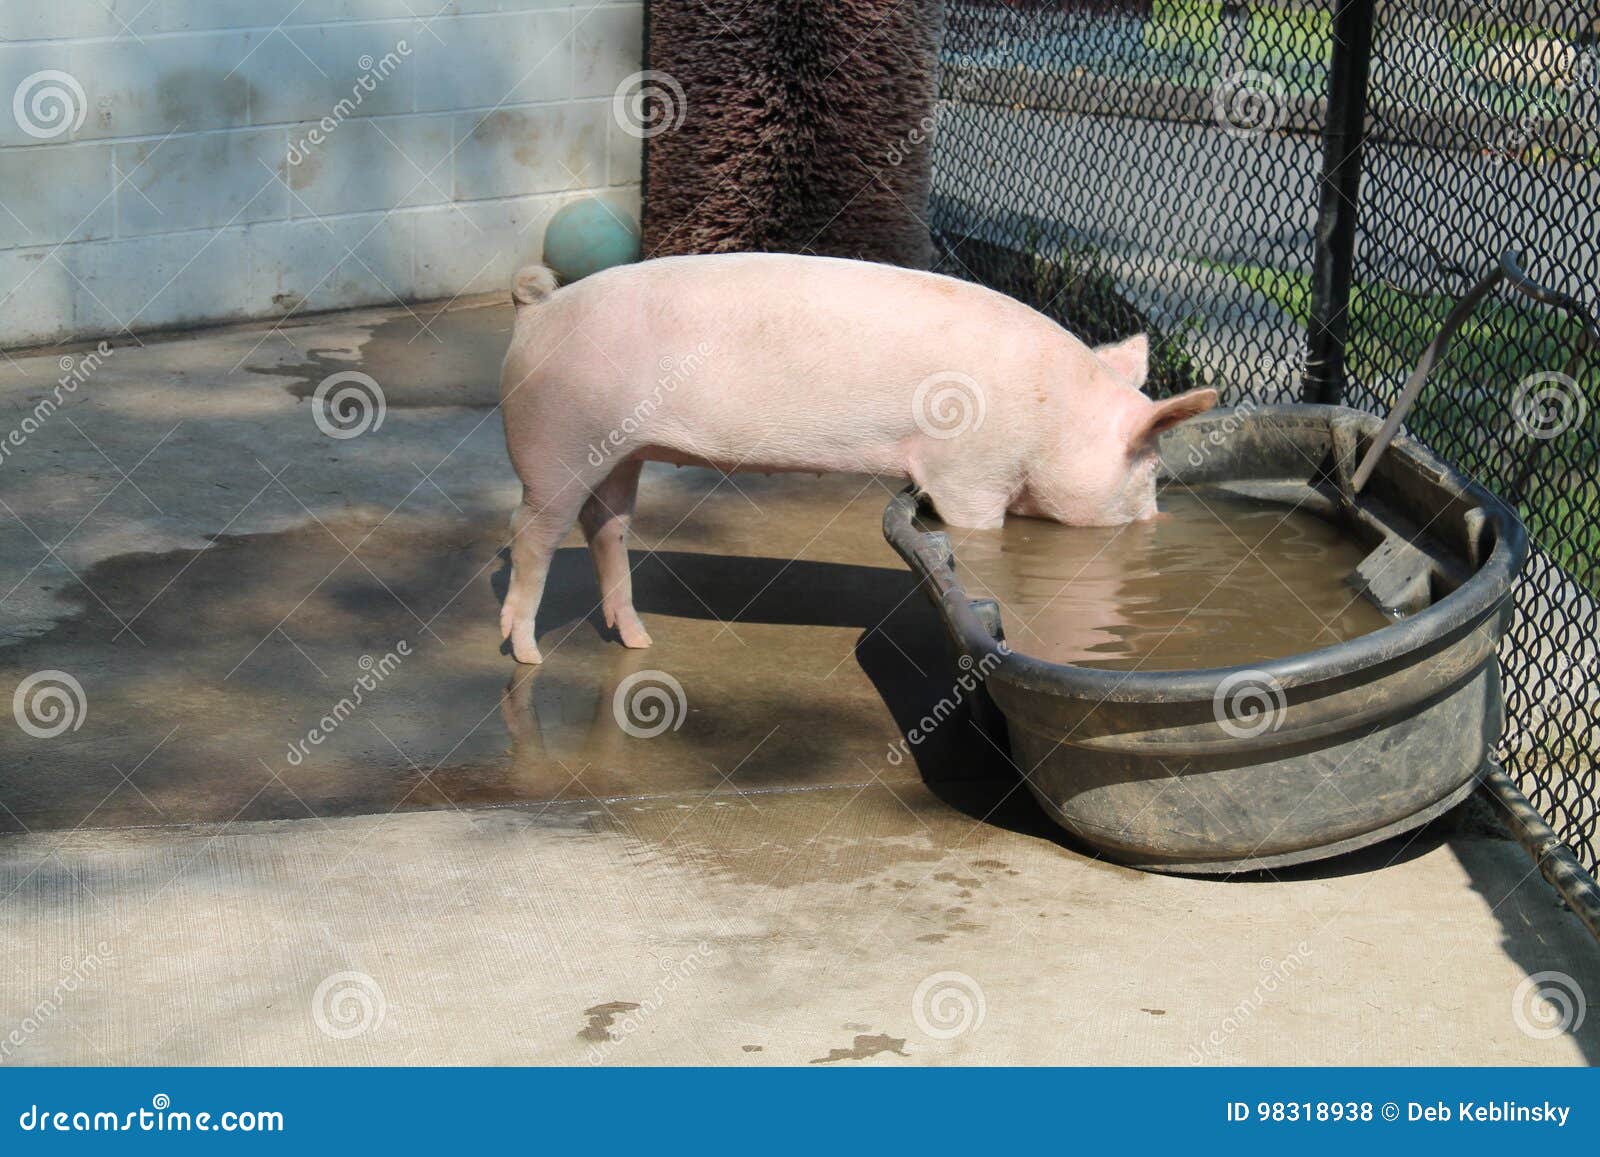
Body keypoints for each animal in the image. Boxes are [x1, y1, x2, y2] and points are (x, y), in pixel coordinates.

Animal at [498, 252, 1217, 664]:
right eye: (1151, 469)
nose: (1159, 525)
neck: (1056, 418)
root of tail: (537, 310)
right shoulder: (969, 473)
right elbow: (975, 532)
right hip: (558, 440)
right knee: (533, 532)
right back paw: (527, 654)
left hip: (619, 451)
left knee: (607, 526)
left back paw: (639, 638)